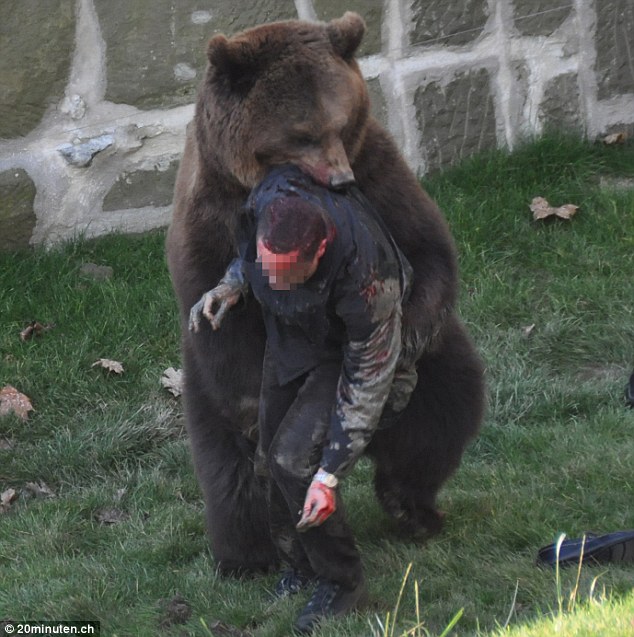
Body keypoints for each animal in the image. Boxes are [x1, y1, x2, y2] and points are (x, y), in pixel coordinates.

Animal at [167, 11, 484, 576]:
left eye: (341, 121)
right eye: (301, 133)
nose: (338, 179)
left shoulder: (377, 172)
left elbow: (427, 249)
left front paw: (402, 341)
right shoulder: (210, 216)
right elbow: (223, 321)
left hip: (435, 375)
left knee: (445, 409)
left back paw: (410, 505)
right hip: (202, 393)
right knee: (230, 472)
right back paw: (248, 555)